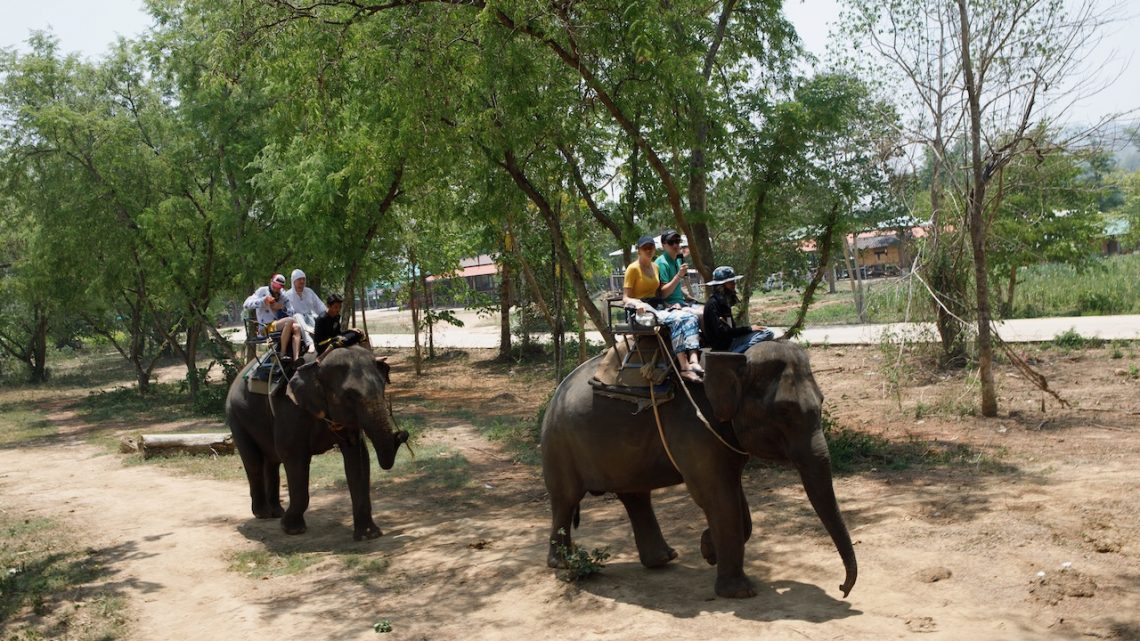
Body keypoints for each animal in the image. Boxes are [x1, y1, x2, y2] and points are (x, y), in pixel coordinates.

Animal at [224, 344, 408, 538]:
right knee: (253, 462)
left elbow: (358, 457)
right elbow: (293, 456)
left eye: (383, 388)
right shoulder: (290, 409)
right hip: (235, 415)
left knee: (271, 461)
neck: (319, 363)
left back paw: (276, 513)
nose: (402, 435)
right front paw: (292, 529)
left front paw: (368, 534)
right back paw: (263, 514)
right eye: (349, 396)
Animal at [540, 342, 857, 597]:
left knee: (635, 496)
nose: (841, 588)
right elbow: (716, 497)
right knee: (566, 499)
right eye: (785, 412)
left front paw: (708, 549)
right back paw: (563, 563)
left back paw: (663, 559)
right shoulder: (695, 428)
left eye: (822, 401)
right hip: (559, 444)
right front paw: (739, 592)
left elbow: (734, 496)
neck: (734, 358)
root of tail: (556, 394)